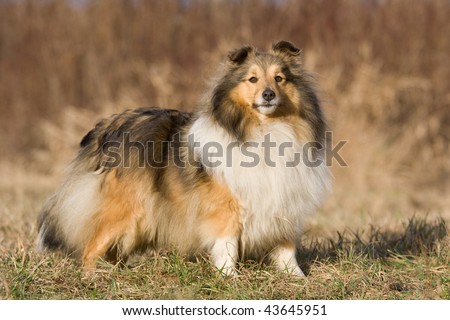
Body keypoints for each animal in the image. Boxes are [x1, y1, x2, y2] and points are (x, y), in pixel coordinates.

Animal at [37, 40, 330, 276]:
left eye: (279, 78)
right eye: (252, 79)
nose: (268, 95)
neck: (265, 129)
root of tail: (108, 125)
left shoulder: (285, 202)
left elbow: (286, 248)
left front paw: (297, 278)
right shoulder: (225, 207)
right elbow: (227, 246)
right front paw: (230, 278)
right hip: (122, 210)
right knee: (91, 248)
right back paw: (92, 279)